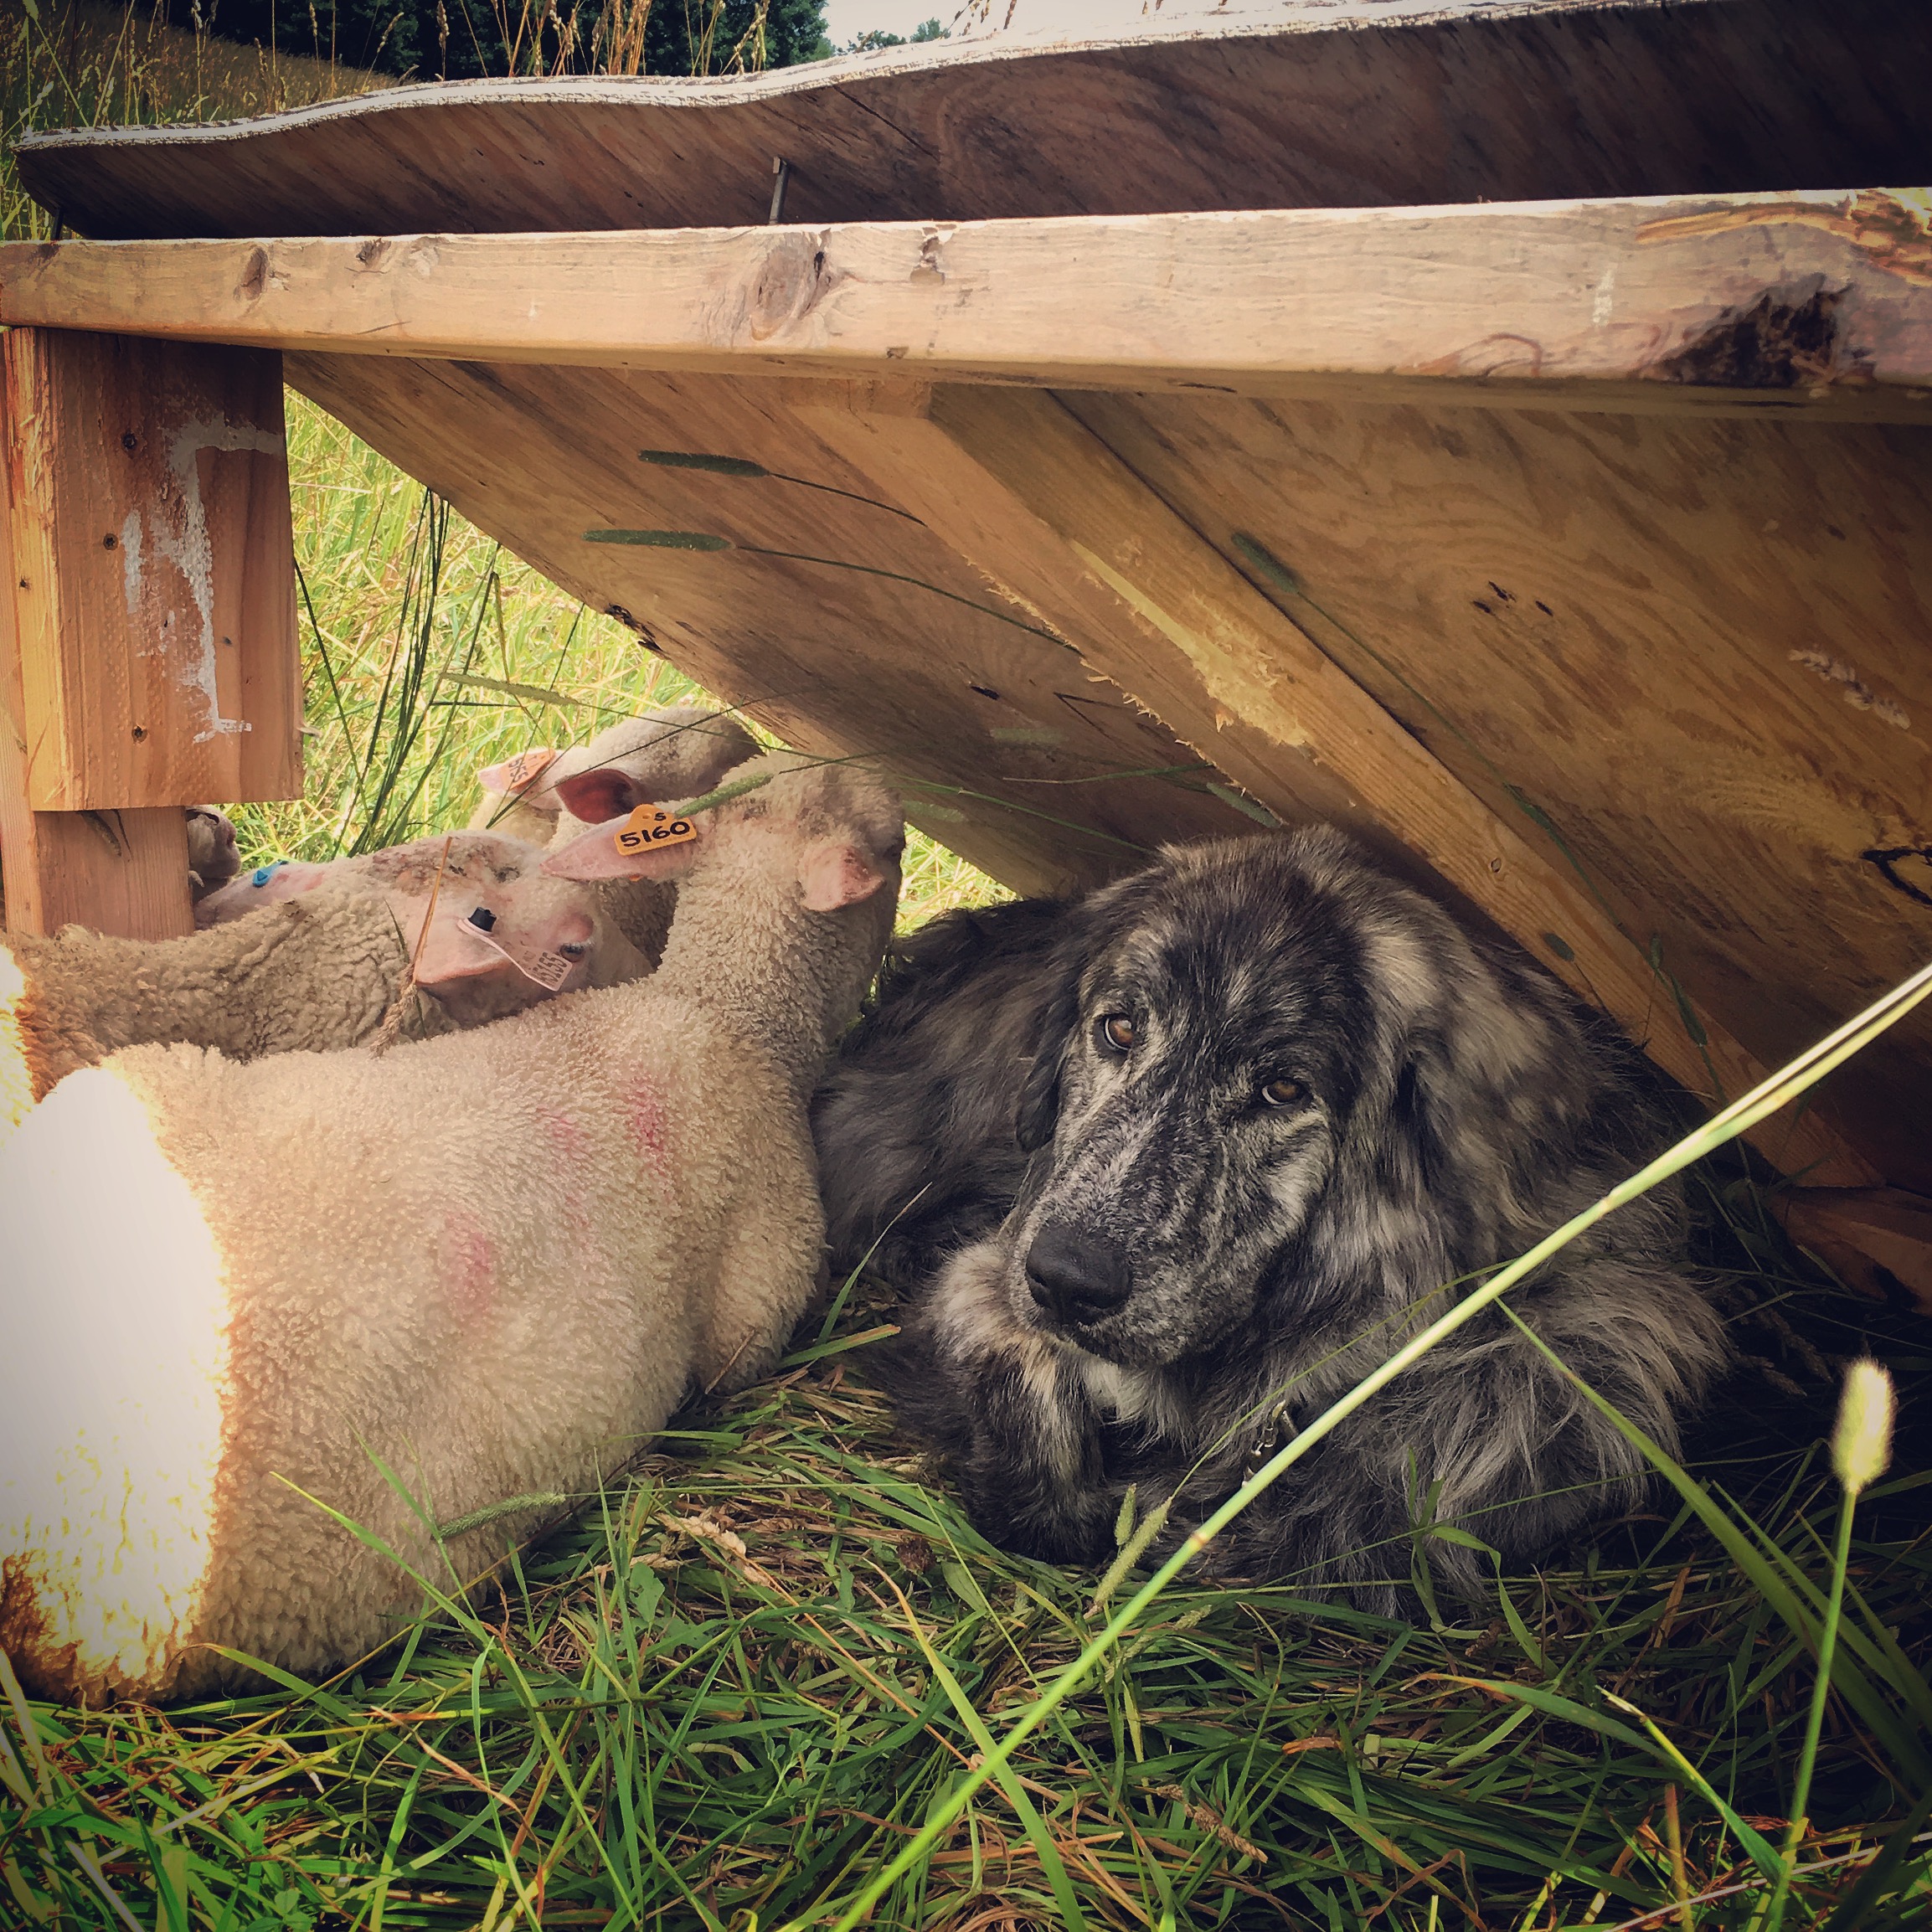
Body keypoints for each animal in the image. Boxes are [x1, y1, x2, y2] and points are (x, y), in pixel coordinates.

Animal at [807, 822, 1731, 1607]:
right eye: (1118, 1029)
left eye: (1283, 1088)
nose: (1066, 1282)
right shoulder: (1000, 1260)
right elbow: (1005, 1352)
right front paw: (1041, 1488)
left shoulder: (1588, 1354)